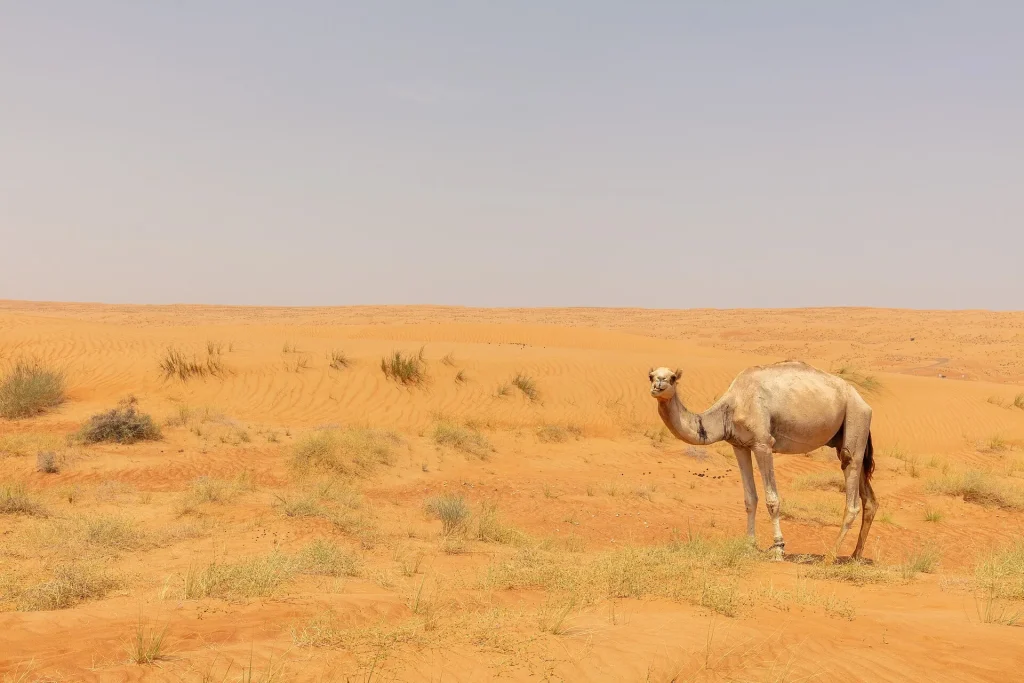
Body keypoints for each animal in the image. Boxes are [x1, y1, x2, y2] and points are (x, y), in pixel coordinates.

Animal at [648, 360, 876, 561]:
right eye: (651, 376)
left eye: (672, 377)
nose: (658, 384)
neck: (732, 406)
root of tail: (864, 402)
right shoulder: (739, 445)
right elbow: (750, 499)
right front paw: (749, 546)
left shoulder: (762, 444)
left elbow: (772, 500)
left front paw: (778, 549)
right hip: (843, 437)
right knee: (869, 500)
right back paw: (855, 556)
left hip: (855, 419)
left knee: (852, 488)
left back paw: (830, 556)